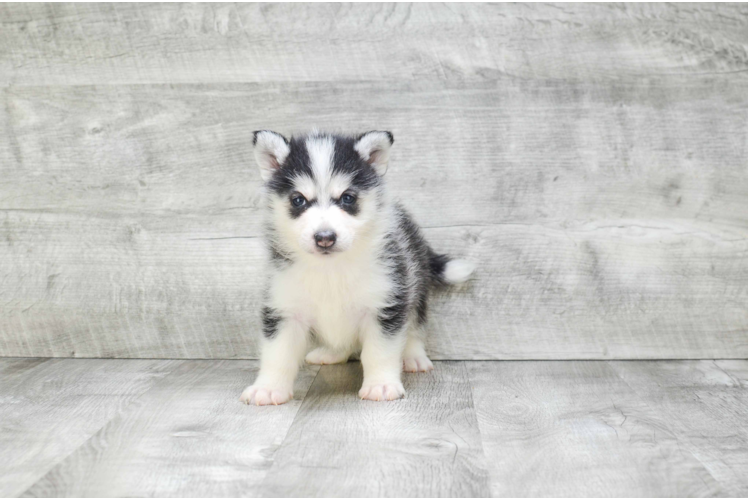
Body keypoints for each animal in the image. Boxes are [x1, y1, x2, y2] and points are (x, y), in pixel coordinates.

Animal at [240, 131, 474, 404]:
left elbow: (379, 352)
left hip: (414, 283)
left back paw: (413, 356)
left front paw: (381, 385)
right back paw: (331, 353)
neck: (330, 270)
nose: (325, 238)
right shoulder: (285, 308)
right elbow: (277, 354)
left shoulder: (384, 304)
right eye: (298, 200)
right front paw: (268, 388)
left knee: (415, 325)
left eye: (347, 198)